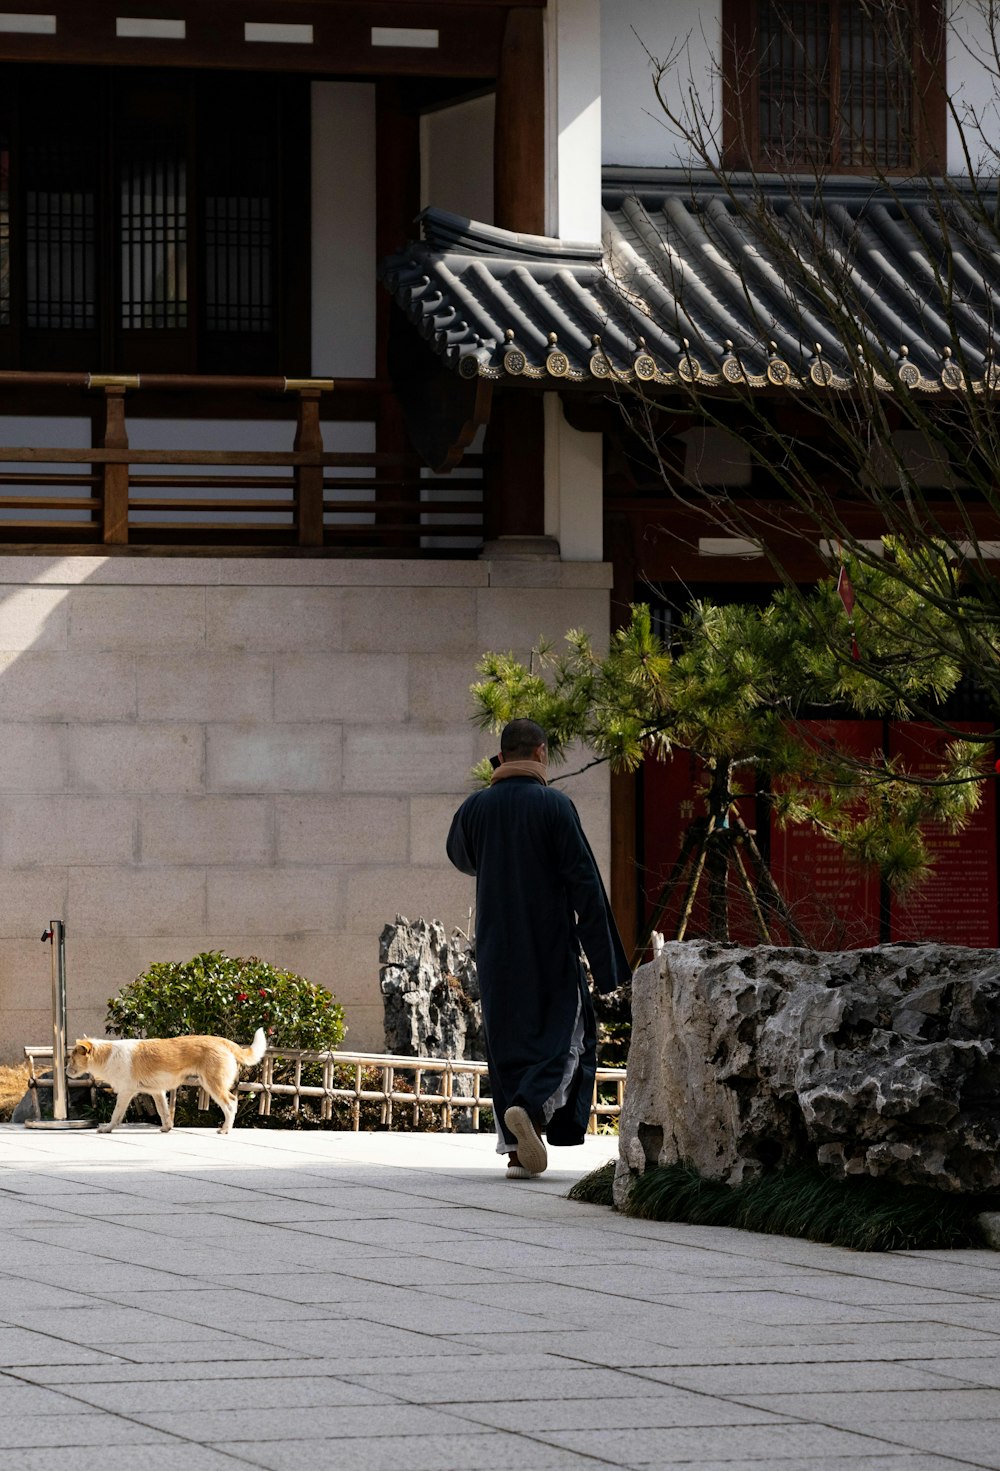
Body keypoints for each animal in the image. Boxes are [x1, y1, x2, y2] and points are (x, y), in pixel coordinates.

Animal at [68, 1029, 267, 1129]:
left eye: (71, 1058)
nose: (66, 1071)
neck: (107, 1054)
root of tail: (222, 1041)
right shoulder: (158, 1092)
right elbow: (163, 1111)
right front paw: (166, 1128)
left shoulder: (126, 1092)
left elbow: (116, 1114)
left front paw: (107, 1128)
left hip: (213, 1085)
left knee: (231, 1103)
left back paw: (225, 1129)